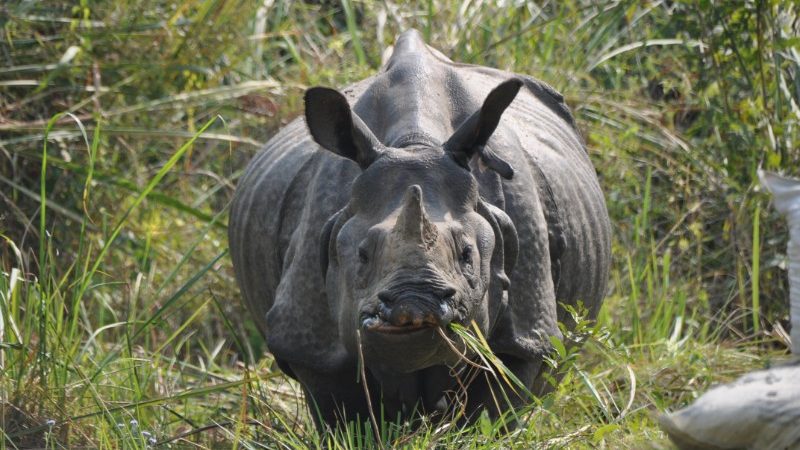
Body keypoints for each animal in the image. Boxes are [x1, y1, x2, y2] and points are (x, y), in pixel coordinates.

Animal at [229, 29, 611, 428]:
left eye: (467, 255)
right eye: (362, 256)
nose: (413, 303)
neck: (414, 144)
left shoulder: (526, 334)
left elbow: (495, 408)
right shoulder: (311, 343)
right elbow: (340, 412)